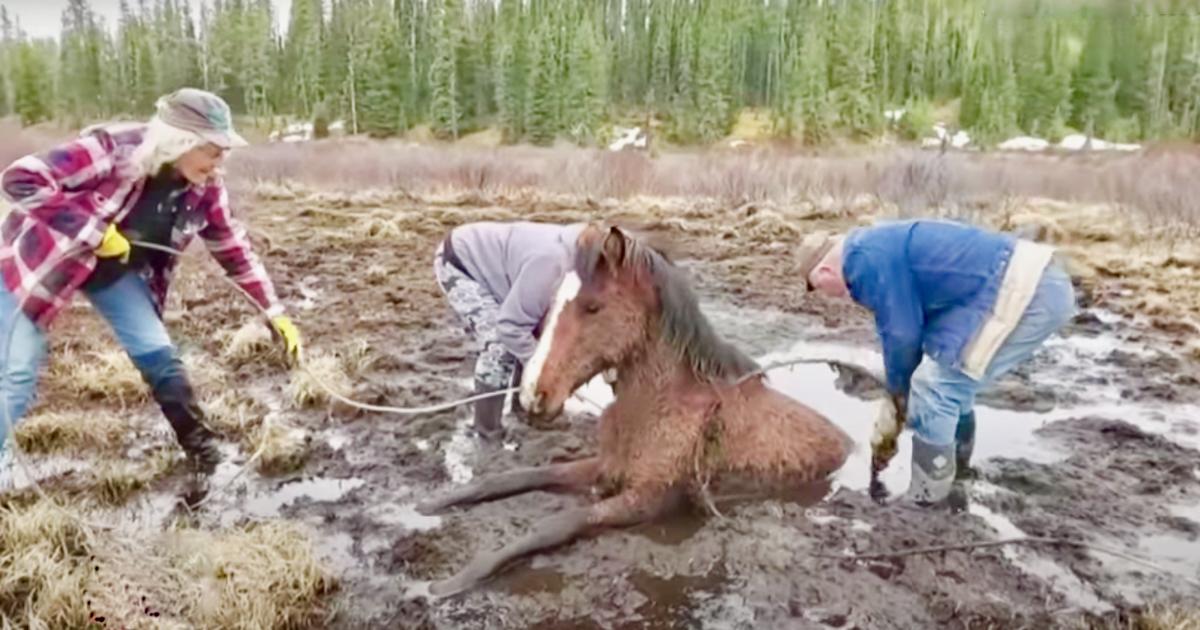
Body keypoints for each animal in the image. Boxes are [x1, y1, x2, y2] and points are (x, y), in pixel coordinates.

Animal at [417, 223, 854, 596]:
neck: (661, 405)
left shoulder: (648, 500)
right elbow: (516, 477)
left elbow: (553, 525)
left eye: (593, 307)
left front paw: (456, 580)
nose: (534, 397)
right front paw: (432, 504)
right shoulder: (605, 465)